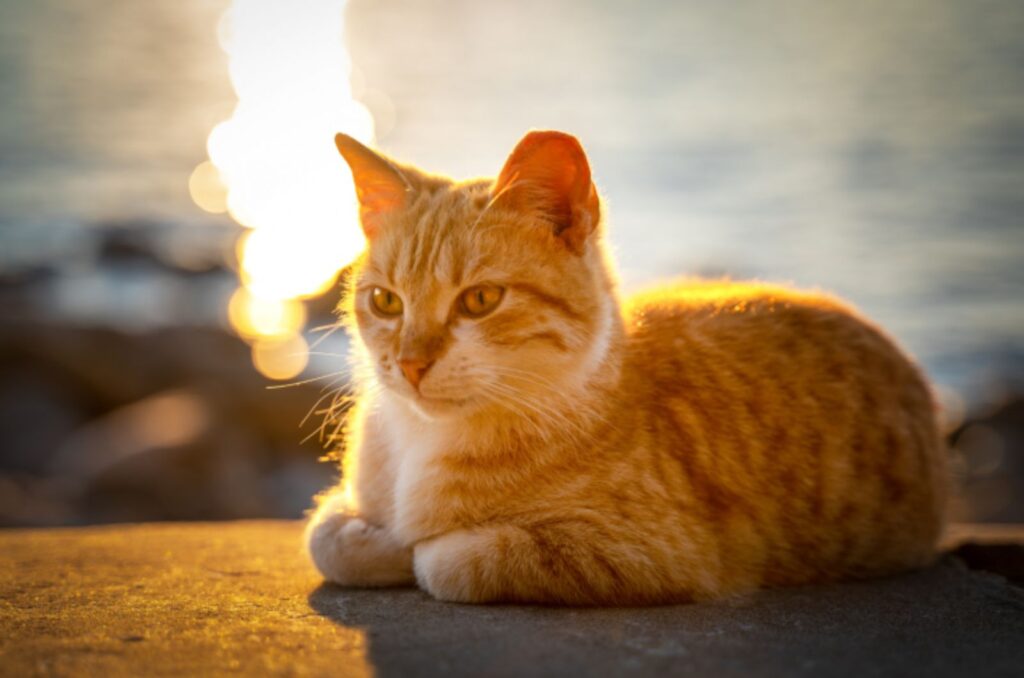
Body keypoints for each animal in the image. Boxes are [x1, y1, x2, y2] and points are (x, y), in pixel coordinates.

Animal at [305, 129, 950, 606]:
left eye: (480, 300)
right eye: (386, 302)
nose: (410, 364)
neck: (420, 443)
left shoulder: (658, 553)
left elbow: (448, 559)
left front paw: (407, 549)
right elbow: (324, 537)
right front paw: (370, 537)